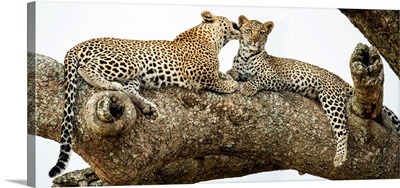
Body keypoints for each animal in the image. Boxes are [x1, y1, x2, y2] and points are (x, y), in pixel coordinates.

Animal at [48, 10, 239, 178]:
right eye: (228, 20)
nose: (237, 24)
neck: (214, 39)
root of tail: (76, 46)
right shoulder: (197, 71)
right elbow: (216, 81)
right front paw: (231, 84)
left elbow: (219, 74)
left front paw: (229, 76)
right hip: (130, 61)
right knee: (86, 68)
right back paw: (111, 84)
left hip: (134, 76)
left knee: (129, 90)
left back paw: (147, 107)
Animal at [227, 15, 398, 167]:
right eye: (249, 30)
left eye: (262, 33)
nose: (255, 40)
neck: (246, 56)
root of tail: (340, 79)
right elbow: (233, 72)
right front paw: (231, 75)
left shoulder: (275, 77)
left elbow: (258, 78)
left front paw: (247, 87)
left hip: (331, 98)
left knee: (343, 129)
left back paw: (340, 157)